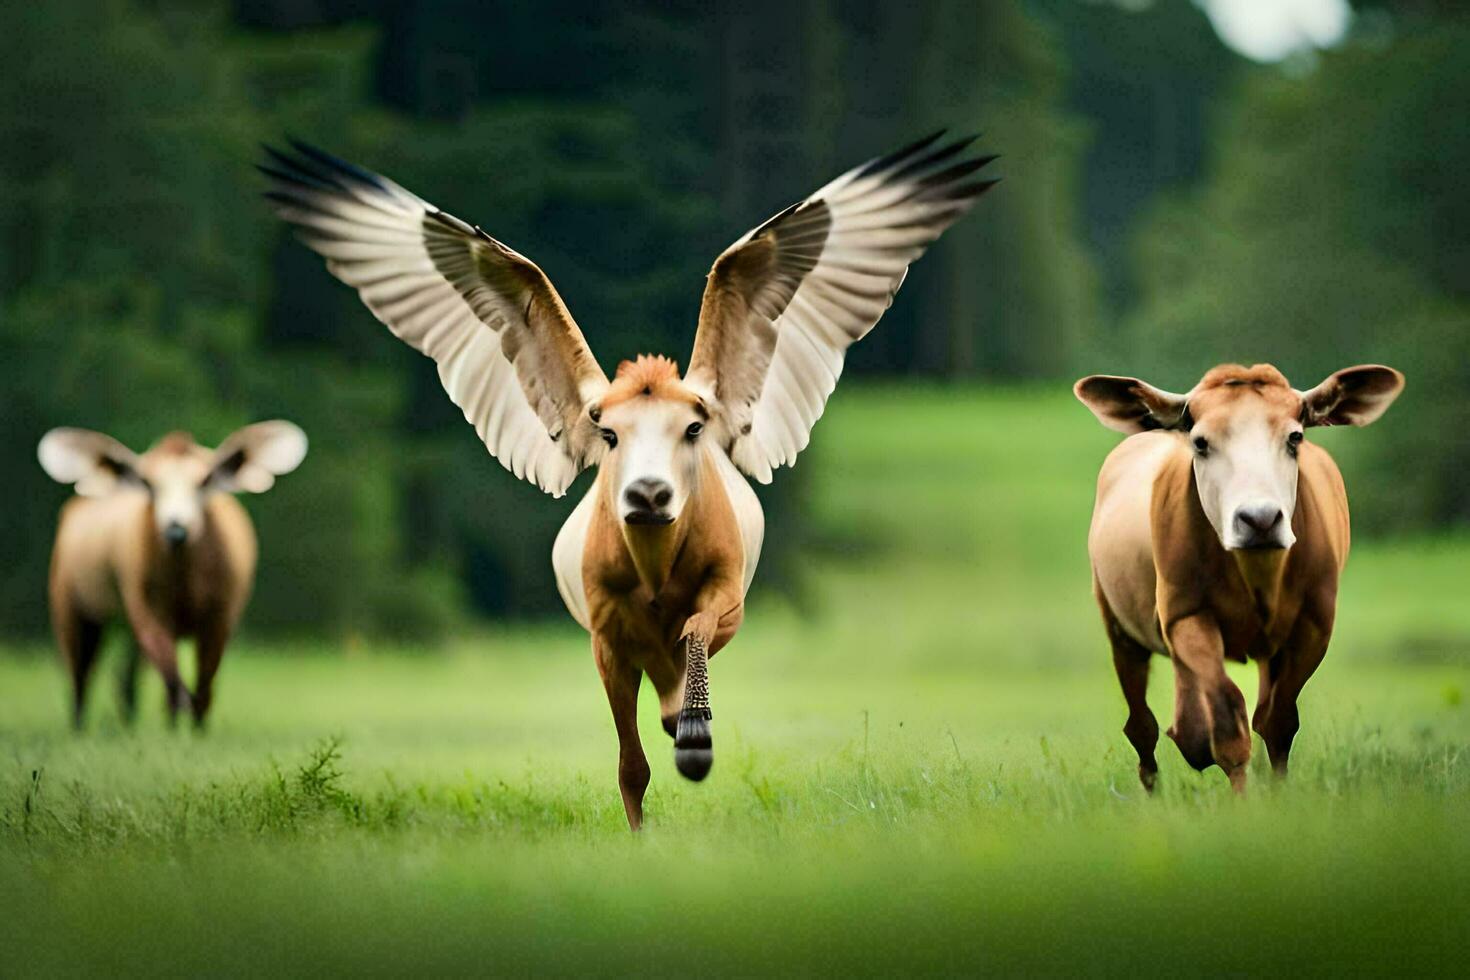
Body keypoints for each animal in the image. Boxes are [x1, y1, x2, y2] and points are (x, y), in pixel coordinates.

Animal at [38, 423, 307, 728]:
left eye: (204, 481)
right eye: (149, 484)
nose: (176, 528)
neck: (186, 579)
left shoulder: (221, 616)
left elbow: (204, 684)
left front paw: (194, 725)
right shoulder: (149, 614)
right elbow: (172, 680)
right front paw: (179, 719)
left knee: (125, 677)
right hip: (71, 606)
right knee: (81, 672)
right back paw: (81, 725)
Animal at [264, 132, 999, 828]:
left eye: (695, 430)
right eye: (609, 436)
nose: (648, 495)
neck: (652, 569)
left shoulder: (720, 602)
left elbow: (694, 634)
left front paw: (697, 743)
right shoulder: (607, 643)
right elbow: (631, 767)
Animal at [1081, 364, 1399, 793]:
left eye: (1295, 437)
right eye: (1201, 443)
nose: (1259, 519)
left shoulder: (1314, 623)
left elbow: (1277, 720)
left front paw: (1278, 794)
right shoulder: (1185, 616)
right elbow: (1227, 715)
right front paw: (1241, 798)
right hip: (1118, 623)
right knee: (1141, 724)